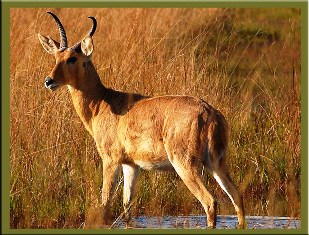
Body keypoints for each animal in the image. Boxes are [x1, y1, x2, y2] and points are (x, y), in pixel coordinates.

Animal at [38, 11, 244, 229]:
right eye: (55, 57)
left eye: (72, 58)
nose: (49, 81)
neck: (102, 103)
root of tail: (209, 112)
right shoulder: (131, 165)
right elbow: (127, 206)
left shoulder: (110, 160)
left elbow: (105, 202)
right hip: (216, 163)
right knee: (237, 196)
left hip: (185, 164)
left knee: (210, 201)